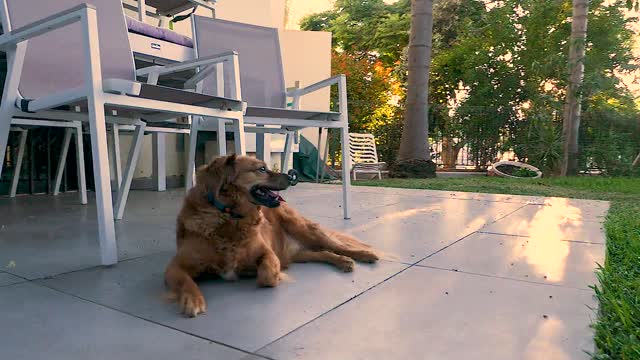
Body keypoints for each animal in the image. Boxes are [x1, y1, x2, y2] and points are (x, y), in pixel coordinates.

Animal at [162, 153, 380, 316]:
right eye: (262, 169)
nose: (293, 176)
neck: (229, 217)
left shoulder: (268, 253)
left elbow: (266, 275)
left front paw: (258, 273)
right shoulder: (174, 267)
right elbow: (186, 281)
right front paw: (193, 300)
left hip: (304, 229)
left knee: (337, 246)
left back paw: (363, 255)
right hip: (299, 253)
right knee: (323, 253)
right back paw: (342, 261)